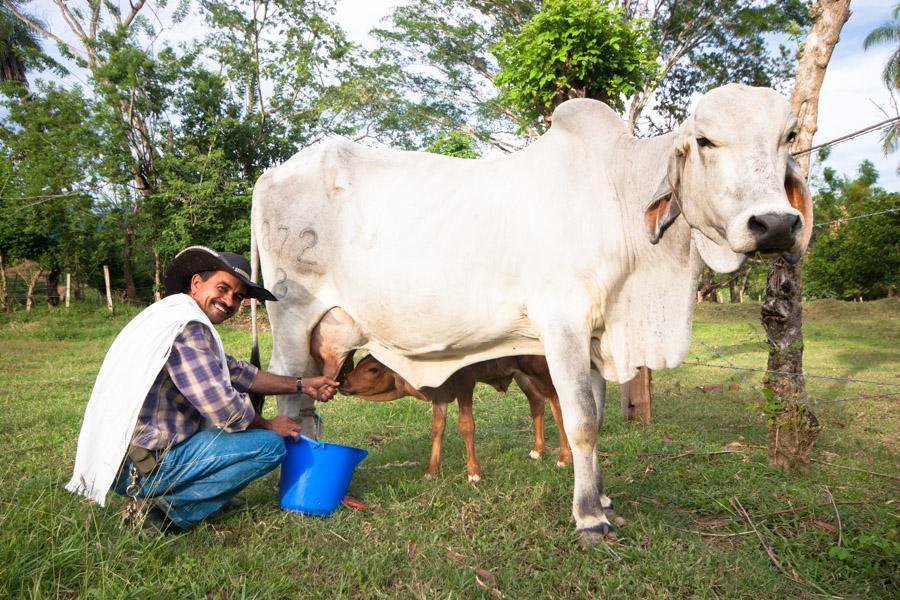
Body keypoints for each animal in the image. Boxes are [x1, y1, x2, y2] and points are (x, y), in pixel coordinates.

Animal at [250, 85, 812, 548]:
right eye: (704, 140)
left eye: (789, 136)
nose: (775, 224)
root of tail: (270, 173)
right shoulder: (563, 324)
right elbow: (581, 420)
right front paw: (589, 519)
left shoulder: (595, 338)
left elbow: (596, 416)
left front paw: (602, 498)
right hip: (292, 318)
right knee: (289, 398)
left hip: (327, 333)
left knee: (309, 402)